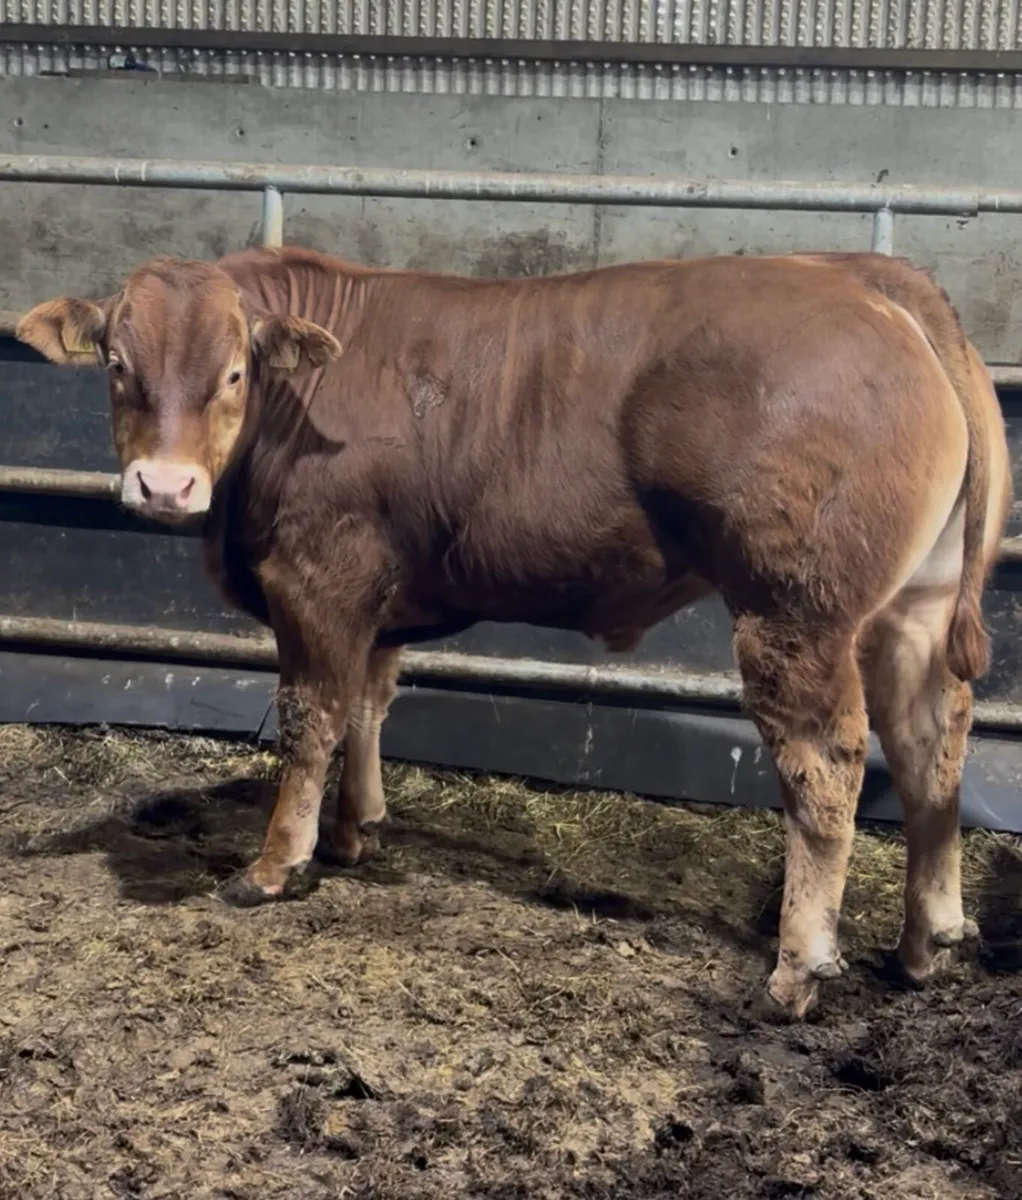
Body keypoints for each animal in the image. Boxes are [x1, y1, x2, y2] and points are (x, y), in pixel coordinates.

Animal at [17, 246, 1011, 1018]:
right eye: (116, 363)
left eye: (233, 372)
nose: (164, 486)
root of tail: (864, 276)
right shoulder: (378, 596)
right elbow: (372, 703)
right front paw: (355, 831)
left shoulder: (316, 579)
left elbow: (311, 719)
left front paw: (274, 865)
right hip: (913, 607)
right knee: (931, 740)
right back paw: (924, 941)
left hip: (793, 609)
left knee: (826, 762)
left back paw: (796, 972)